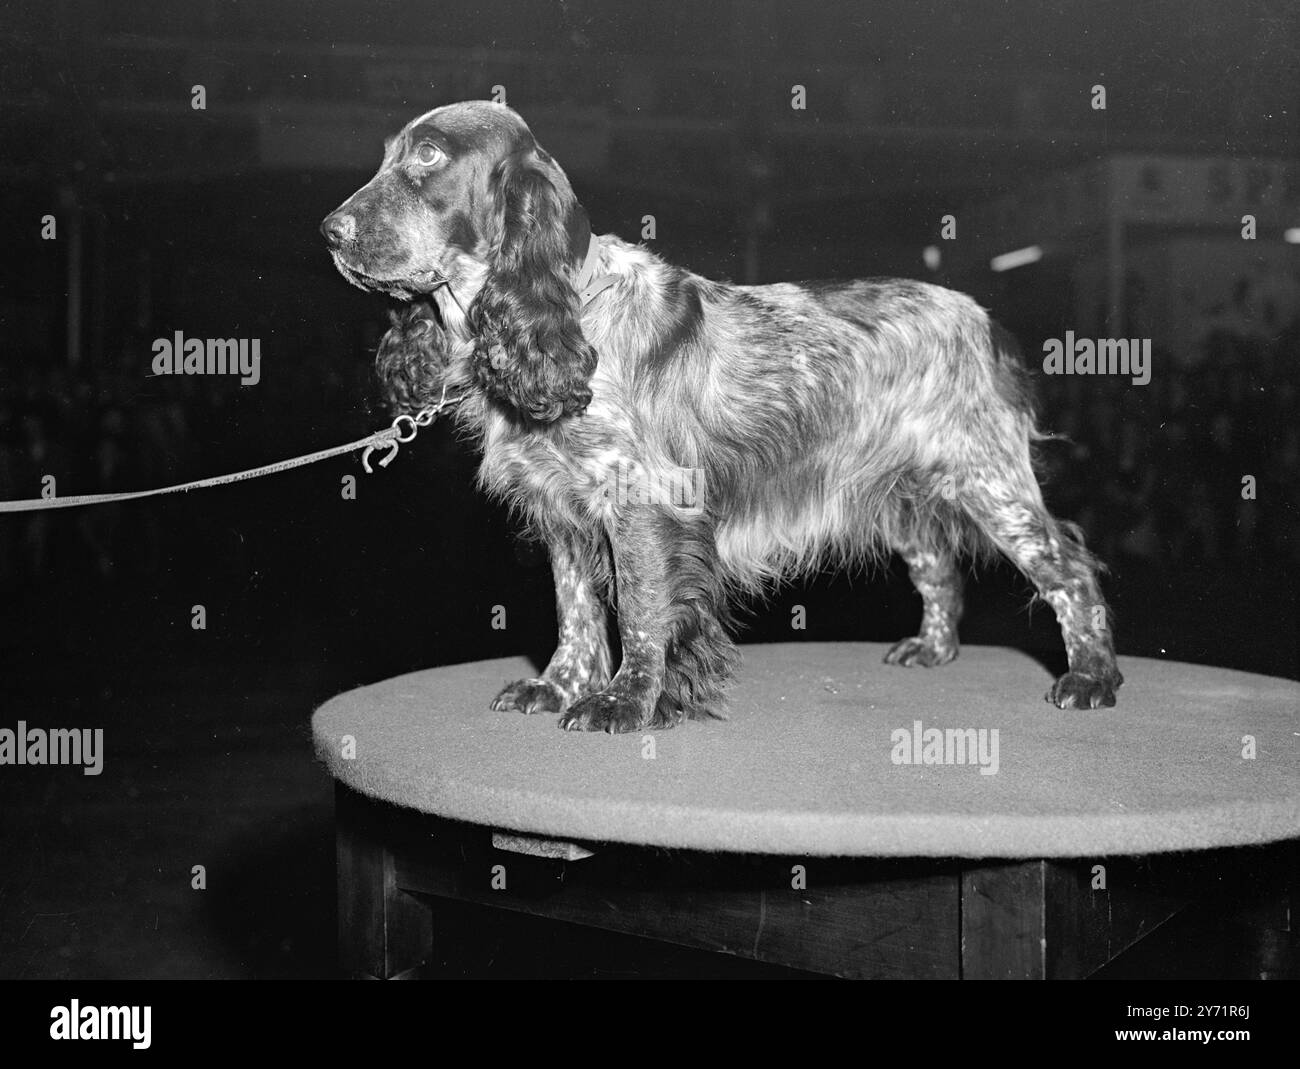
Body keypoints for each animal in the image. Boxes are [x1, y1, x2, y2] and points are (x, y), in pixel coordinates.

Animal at [319, 100, 1123, 733]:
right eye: (387, 155)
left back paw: (1091, 678)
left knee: (1069, 568)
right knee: (938, 569)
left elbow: (641, 614)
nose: (329, 229)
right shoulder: (564, 512)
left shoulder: (642, 503)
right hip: (900, 493)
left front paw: (625, 704)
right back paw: (932, 649)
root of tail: (985, 321)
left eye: (428, 156)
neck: (570, 316)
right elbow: (576, 612)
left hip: (989, 482)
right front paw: (558, 688)